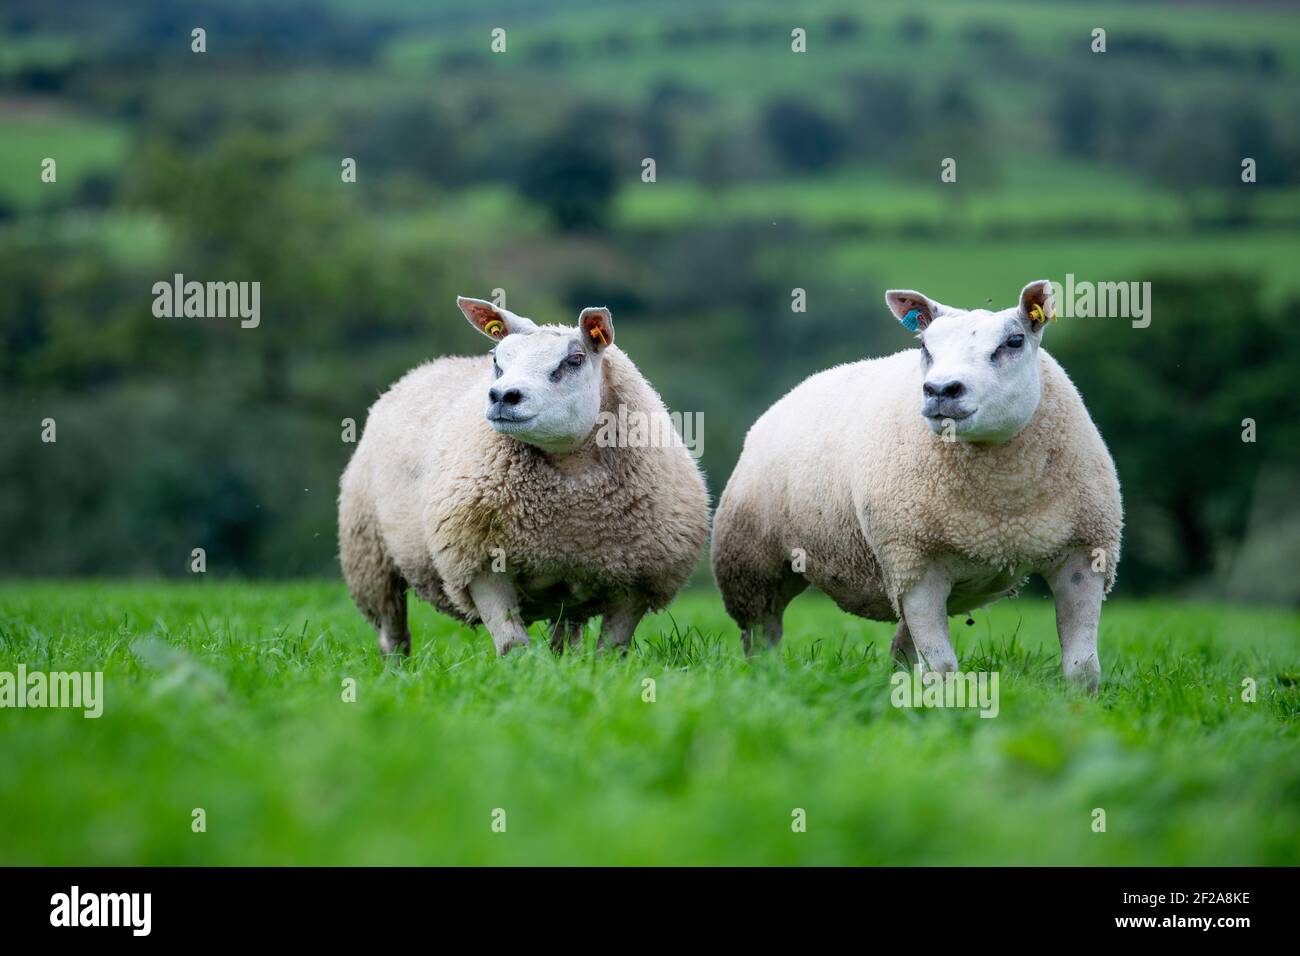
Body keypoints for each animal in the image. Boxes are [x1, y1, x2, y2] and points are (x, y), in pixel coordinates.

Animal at [340, 299, 712, 658]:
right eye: (497, 360)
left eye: (575, 359)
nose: (502, 396)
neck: (574, 491)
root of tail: (429, 366)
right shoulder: (480, 565)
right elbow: (512, 646)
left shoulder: (640, 580)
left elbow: (610, 652)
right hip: (371, 555)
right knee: (392, 631)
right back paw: (396, 668)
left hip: (570, 587)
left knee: (566, 641)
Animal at [707, 280, 1123, 691]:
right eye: (925, 346)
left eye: (1014, 341)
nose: (940, 390)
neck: (1004, 507)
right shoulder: (915, 562)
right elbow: (942, 669)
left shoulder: (1085, 554)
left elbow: (1083, 669)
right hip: (752, 563)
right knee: (763, 631)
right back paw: (765, 675)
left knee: (902, 643)